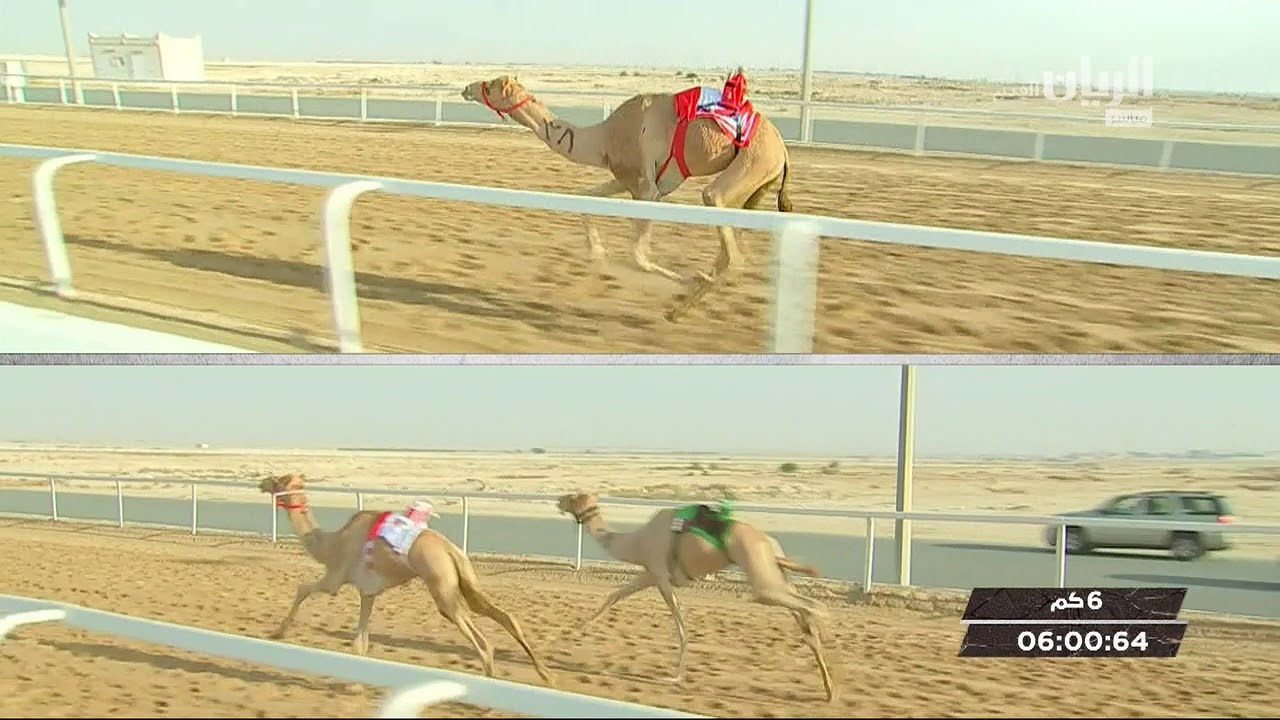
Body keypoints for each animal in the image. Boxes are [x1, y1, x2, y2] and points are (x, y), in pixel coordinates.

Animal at [257, 473, 554, 685]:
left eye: (278, 479)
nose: (261, 482)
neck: (330, 544)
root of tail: (450, 550)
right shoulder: (368, 592)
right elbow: (360, 643)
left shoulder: (335, 578)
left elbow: (302, 588)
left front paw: (278, 632)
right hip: (463, 581)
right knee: (502, 616)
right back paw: (545, 675)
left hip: (440, 584)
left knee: (484, 644)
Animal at [459, 68, 794, 323]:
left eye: (491, 84)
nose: (467, 87)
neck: (603, 137)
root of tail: (783, 150)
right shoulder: (627, 179)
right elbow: (585, 199)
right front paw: (598, 253)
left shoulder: (646, 188)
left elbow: (639, 256)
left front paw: (692, 277)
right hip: (751, 187)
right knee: (729, 248)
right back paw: (679, 309)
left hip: (752, 162)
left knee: (726, 236)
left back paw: (692, 292)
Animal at [555, 492, 837, 703]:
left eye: (573, 496)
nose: (558, 499)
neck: (635, 542)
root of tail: (769, 543)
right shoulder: (650, 574)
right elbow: (615, 595)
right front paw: (579, 628)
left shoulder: (661, 576)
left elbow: (682, 628)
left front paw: (676, 677)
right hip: (774, 571)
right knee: (802, 610)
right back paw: (828, 689)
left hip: (760, 573)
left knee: (814, 606)